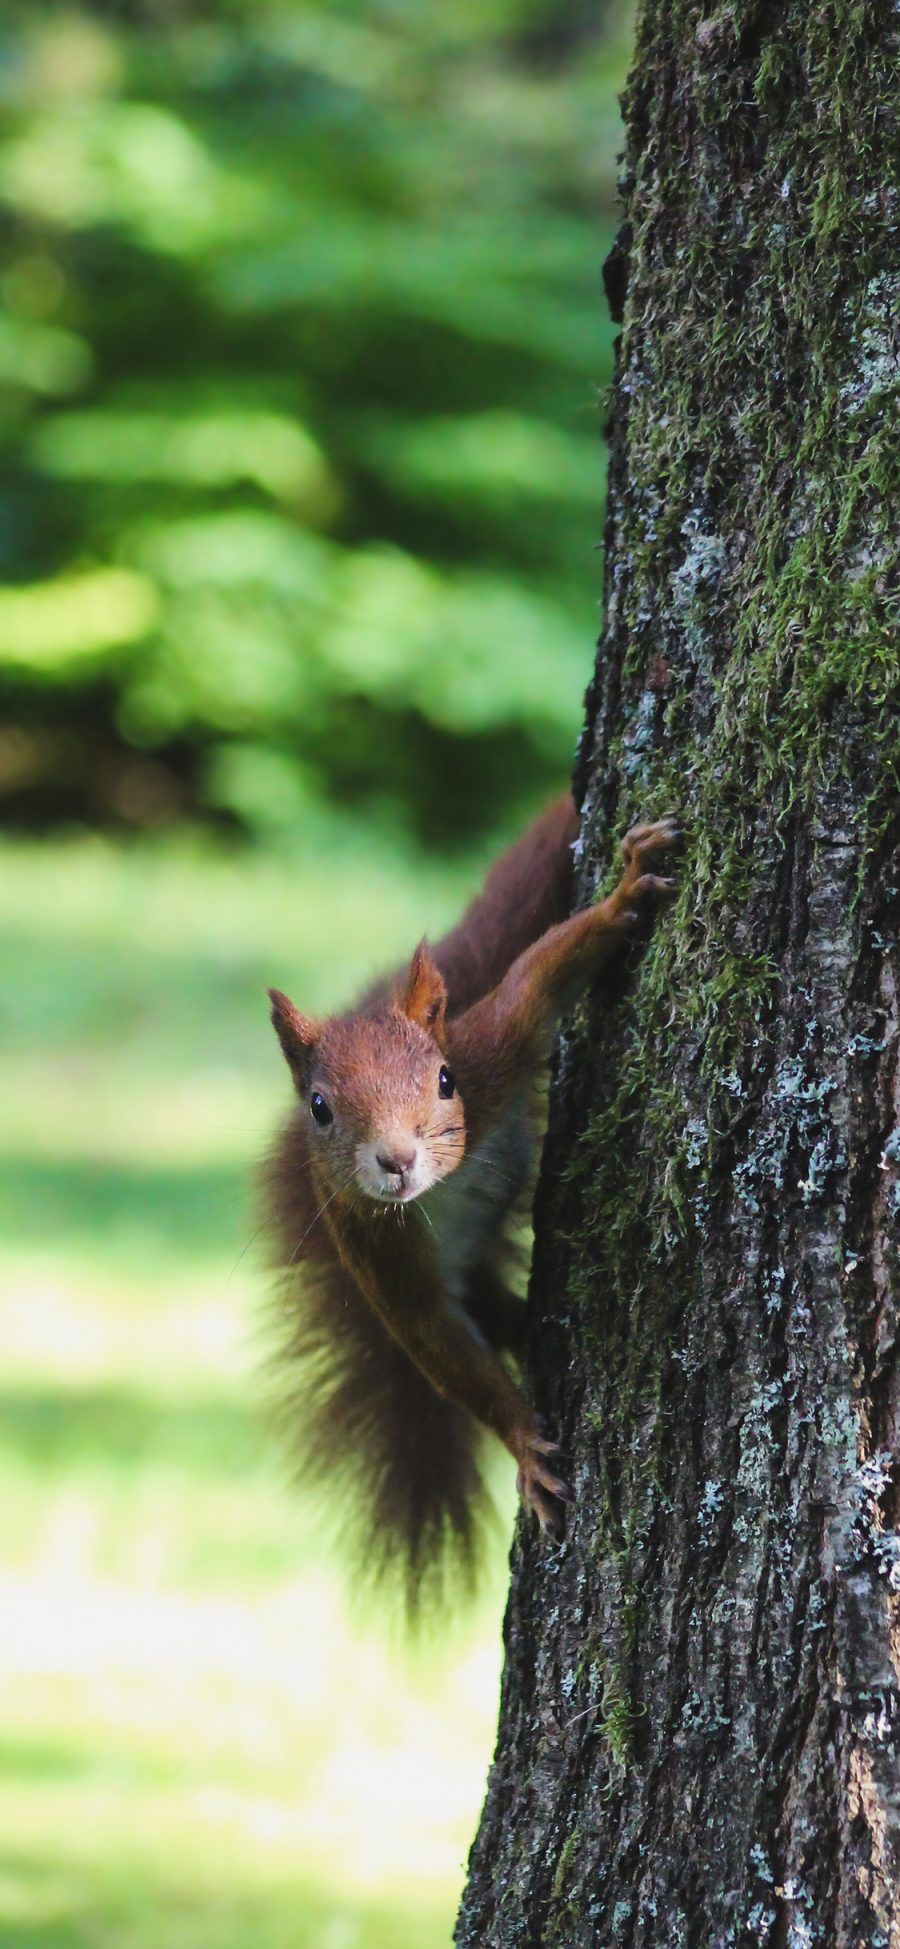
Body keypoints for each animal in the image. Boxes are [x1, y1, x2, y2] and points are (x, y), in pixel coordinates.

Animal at [264, 795, 674, 1613]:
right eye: (320, 1108)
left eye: (444, 1080)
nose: (396, 1159)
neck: (439, 1192)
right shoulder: (372, 1244)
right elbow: (439, 1344)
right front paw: (523, 1441)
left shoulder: (493, 1050)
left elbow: (538, 977)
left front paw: (625, 888)